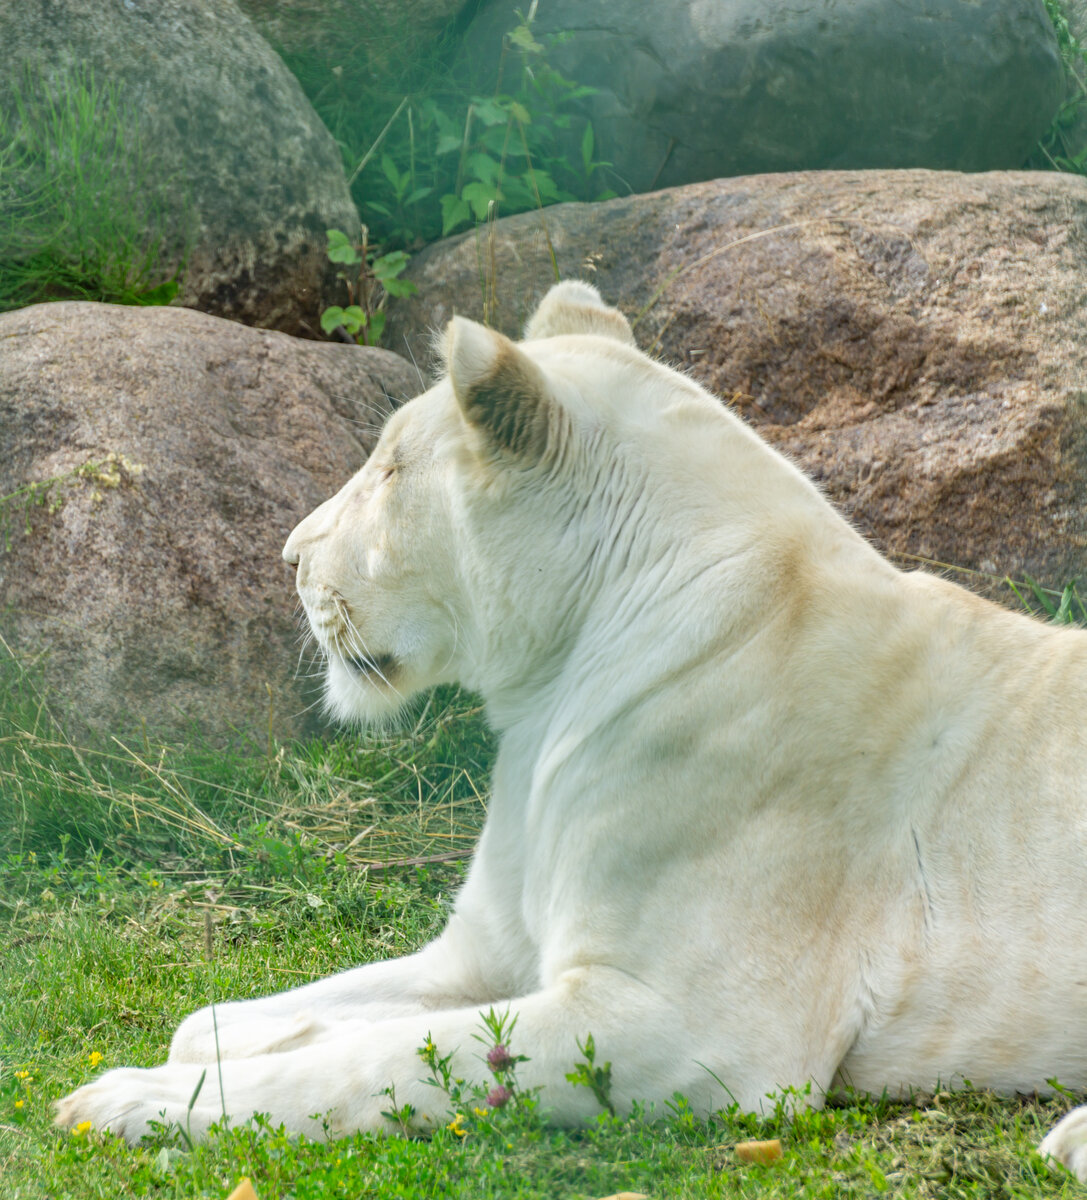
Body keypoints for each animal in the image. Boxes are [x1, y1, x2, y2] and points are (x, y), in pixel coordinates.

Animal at [57, 280, 1084, 1180]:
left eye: (389, 470)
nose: (289, 557)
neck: (543, 698)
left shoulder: (698, 1027)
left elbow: (384, 1062)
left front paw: (124, 1103)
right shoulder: (484, 952)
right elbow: (252, 1020)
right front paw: (201, 1055)